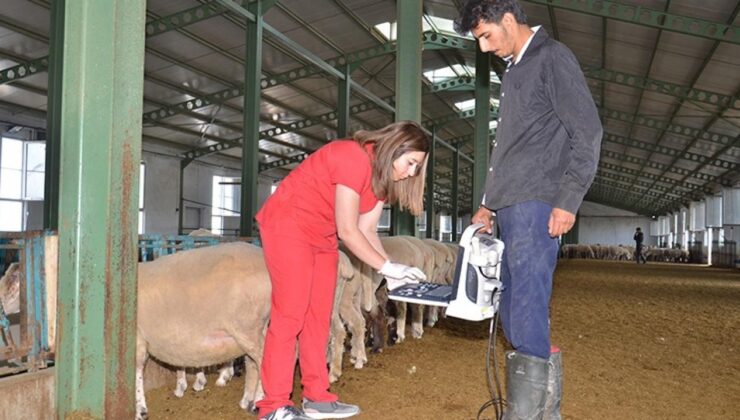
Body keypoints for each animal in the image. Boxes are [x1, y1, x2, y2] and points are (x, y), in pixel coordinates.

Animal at [134, 241, 270, 418]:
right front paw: (184, 385)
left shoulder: (138, 340)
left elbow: (136, 375)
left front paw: (140, 410)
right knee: (253, 363)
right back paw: (247, 400)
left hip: (248, 327)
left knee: (264, 360)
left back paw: (259, 402)